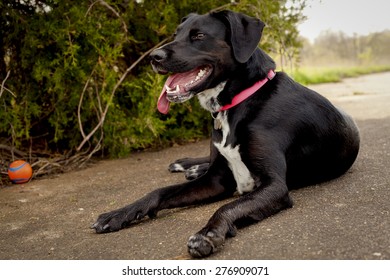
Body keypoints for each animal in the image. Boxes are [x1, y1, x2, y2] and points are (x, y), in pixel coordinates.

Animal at [91, 9, 360, 258]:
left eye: (199, 36)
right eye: (176, 35)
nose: (153, 57)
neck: (241, 100)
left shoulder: (275, 186)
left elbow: (228, 207)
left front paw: (207, 234)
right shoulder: (217, 179)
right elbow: (160, 191)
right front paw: (118, 214)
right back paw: (187, 165)